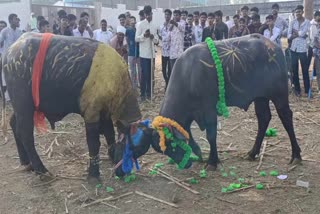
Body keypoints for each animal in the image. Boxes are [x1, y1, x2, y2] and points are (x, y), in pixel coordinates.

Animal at [0, 32, 146, 181]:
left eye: (140, 150)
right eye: (132, 147)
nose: (123, 171)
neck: (113, 77)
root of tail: (10, 52)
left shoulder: (104, 112)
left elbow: (109, 134)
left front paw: (111, 155)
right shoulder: (91, 112)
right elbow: (93, 143)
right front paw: (93, 174)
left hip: (21, 107)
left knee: (14, 124)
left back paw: (26, 162)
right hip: (23, 105)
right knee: (25, 134)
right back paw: (41, 169)